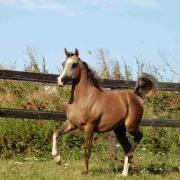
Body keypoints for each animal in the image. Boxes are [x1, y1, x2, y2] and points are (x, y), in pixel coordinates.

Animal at [51, 47, 158, 176]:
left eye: (74, 64)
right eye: (63, 64)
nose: (60, 80)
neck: (83, 99)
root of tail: (134, 96)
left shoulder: (89, 128)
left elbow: (87, 150)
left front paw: (85, 172)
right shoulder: (71, 124)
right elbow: (56, 133)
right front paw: (57, 159)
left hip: (130, 126)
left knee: (138, 138)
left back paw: (127, 166)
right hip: (119, 130)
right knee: (127, 146)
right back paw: (124, 173)